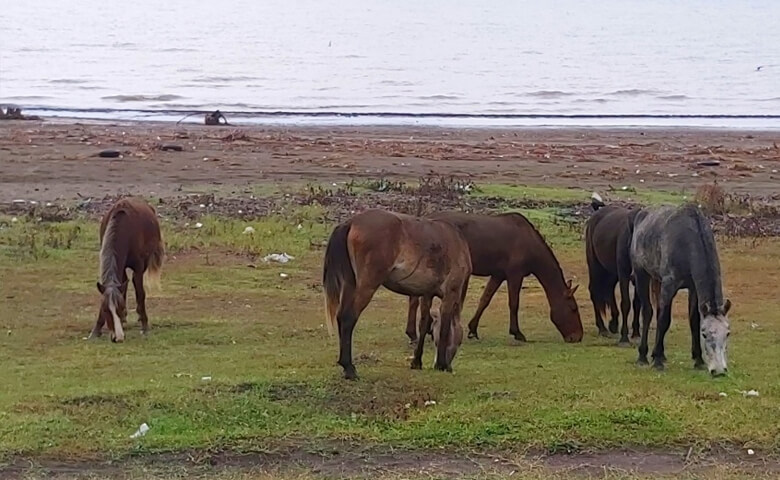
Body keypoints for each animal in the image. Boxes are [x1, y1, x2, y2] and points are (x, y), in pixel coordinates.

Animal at [88, 197, 165, 344]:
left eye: (120, 307)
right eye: (105, 310)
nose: (117, 338)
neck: (125, 228)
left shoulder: (138, 268)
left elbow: (140, 293)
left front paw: (145, 327)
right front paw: (96, 330)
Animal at [322, 209, 470, 378]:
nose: (449, 365)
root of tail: (351, 221)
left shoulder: (427, 294)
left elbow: (424, 324)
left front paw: (416, 361)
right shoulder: (451, 294)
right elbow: (445, 328)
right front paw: (441, 365)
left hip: (350, 284)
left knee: (341, 316)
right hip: (367, 286)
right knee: (348, 317)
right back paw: (349, 368)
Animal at [406, 212, 580, 344]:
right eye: (573, 308)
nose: (577, 337)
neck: (528, 242)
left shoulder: (498, 275)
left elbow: (485, 300)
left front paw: (473, 329)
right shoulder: (514, 274)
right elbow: (513, 303)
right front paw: (517, 332)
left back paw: (416, 332)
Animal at [584, 202, 640, 344]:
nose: (633, 275)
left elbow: (637, 303)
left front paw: (636, 333)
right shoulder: (624, 274)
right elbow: (626, 303)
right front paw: (624, 338)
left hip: (611, 272)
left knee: (609, 290)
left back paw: (613, 324)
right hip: (595, 266)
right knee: (594, 291)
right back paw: (602, 328)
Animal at [628, 202, 732, 376]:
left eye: (727, 334)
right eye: (705, 334)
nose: (718, 371)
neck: (687, 241)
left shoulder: (693, 289)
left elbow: (693, 320)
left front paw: (698, 360)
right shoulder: (669, 285)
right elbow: (664, 320)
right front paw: (657, 361)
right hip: (642, 274)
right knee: (648, 312)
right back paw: (643, 356)